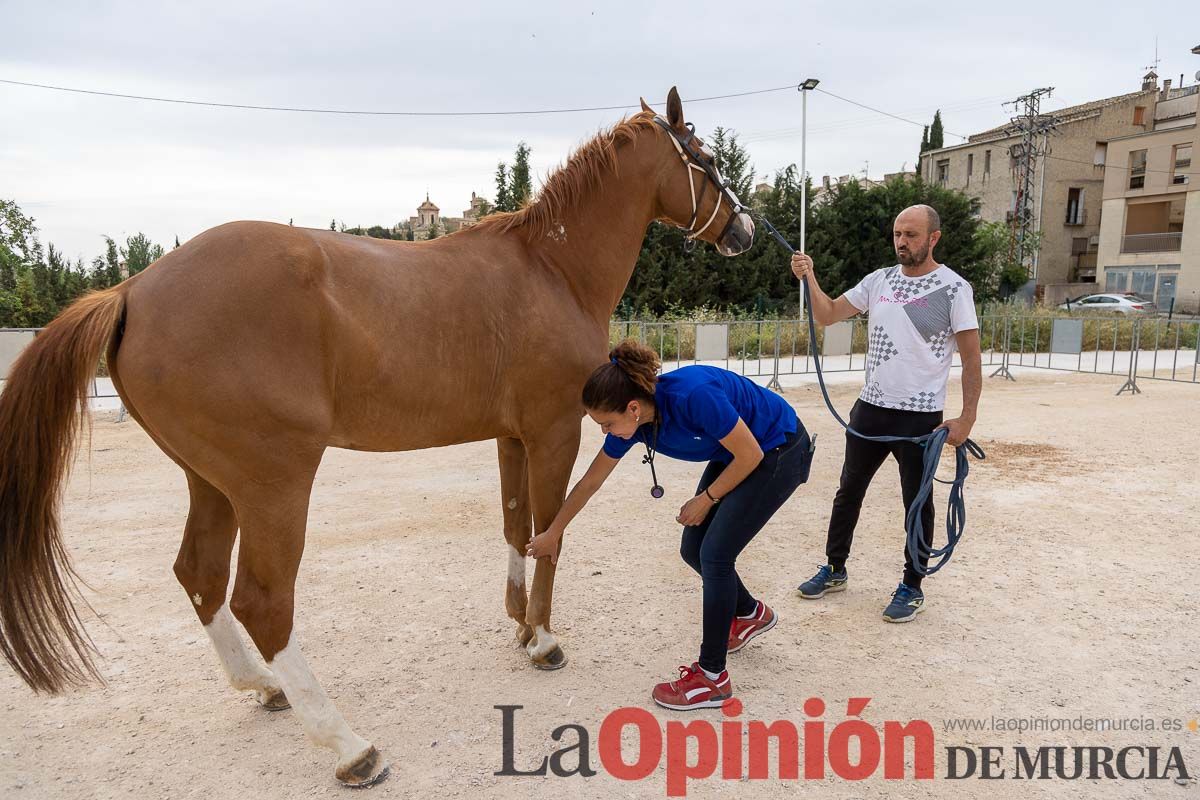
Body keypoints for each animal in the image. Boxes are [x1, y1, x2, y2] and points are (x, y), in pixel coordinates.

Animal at [0, 86, 748, 782]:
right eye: (707, 160)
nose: (742, 231)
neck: (550, 268)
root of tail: (132, 290)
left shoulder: (511, 438)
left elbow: (516, 528)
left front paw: (517, 623)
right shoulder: (555, 433)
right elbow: (551, 536)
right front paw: (541, 639)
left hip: (210, 482)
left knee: (200, 576)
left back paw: (263, 687)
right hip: (273, 484)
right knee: (261, 600)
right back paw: (348, 746)